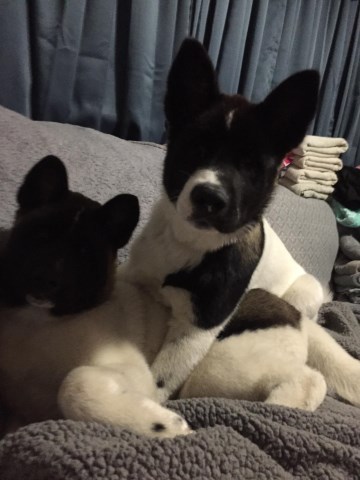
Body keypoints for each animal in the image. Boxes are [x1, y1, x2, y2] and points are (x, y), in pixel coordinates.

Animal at [124, 39, 360, 410]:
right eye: (196, 149)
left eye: (250, 165)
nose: (209, 198)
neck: (189, 243)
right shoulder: (135, 276)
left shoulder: (196, 330)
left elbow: (159, 381)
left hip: (305, 292)